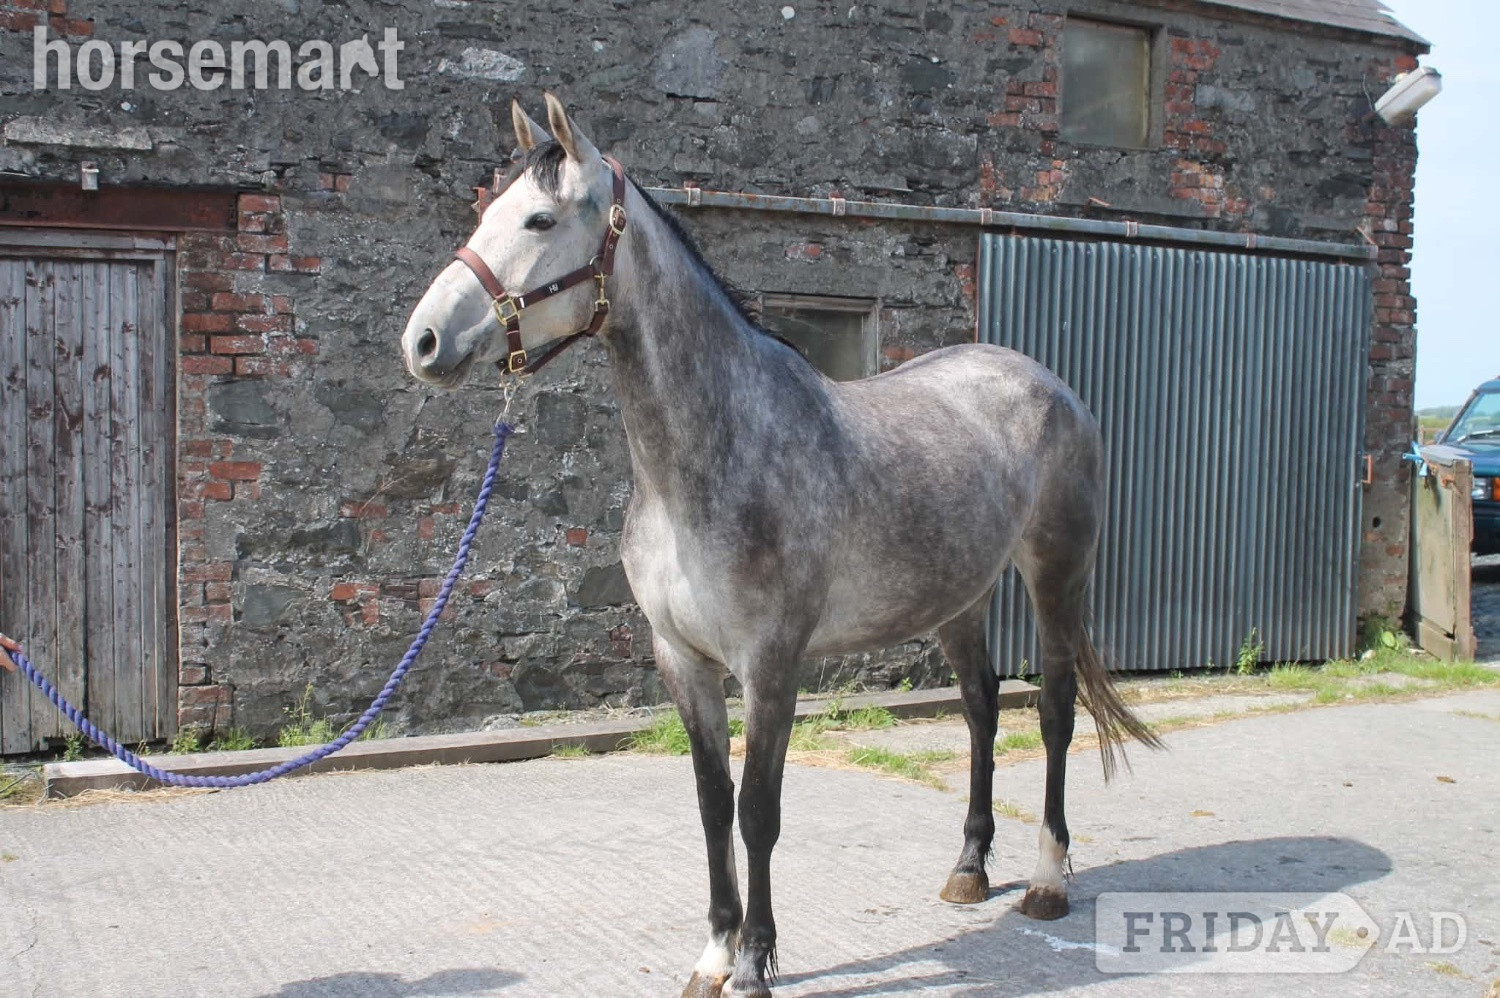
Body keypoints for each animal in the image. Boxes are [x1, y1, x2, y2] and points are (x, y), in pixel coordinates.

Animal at [401, 94, 1161, 998]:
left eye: (539, 218)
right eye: (485, 211)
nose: (422, 340)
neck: (715, 453)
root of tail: (1048, 384)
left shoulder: (771, 664)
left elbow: (758, 810)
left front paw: (756, 961)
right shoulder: (681, 660)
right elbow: (711, 803)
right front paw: (713, 956)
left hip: (1057, 575)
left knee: (1050, 713)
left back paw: (1045, 881)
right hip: (959, 597)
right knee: (981, 707)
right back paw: (970, 868)